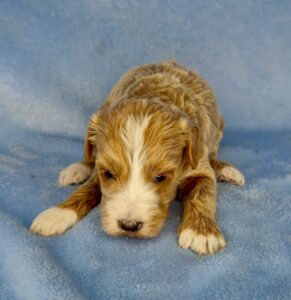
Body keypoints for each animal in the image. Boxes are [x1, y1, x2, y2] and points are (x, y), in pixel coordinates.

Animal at [30, 61, 245, 255]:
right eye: (109, 174)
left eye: (160, 177)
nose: (129, 225)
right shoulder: (100, 166)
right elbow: (87, 189)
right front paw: (58, 212)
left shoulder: (199, 167)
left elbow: (203, 193)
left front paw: (202, 232)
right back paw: (77, 168)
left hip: (217, 131)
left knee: (213, 154)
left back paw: (226, 170)